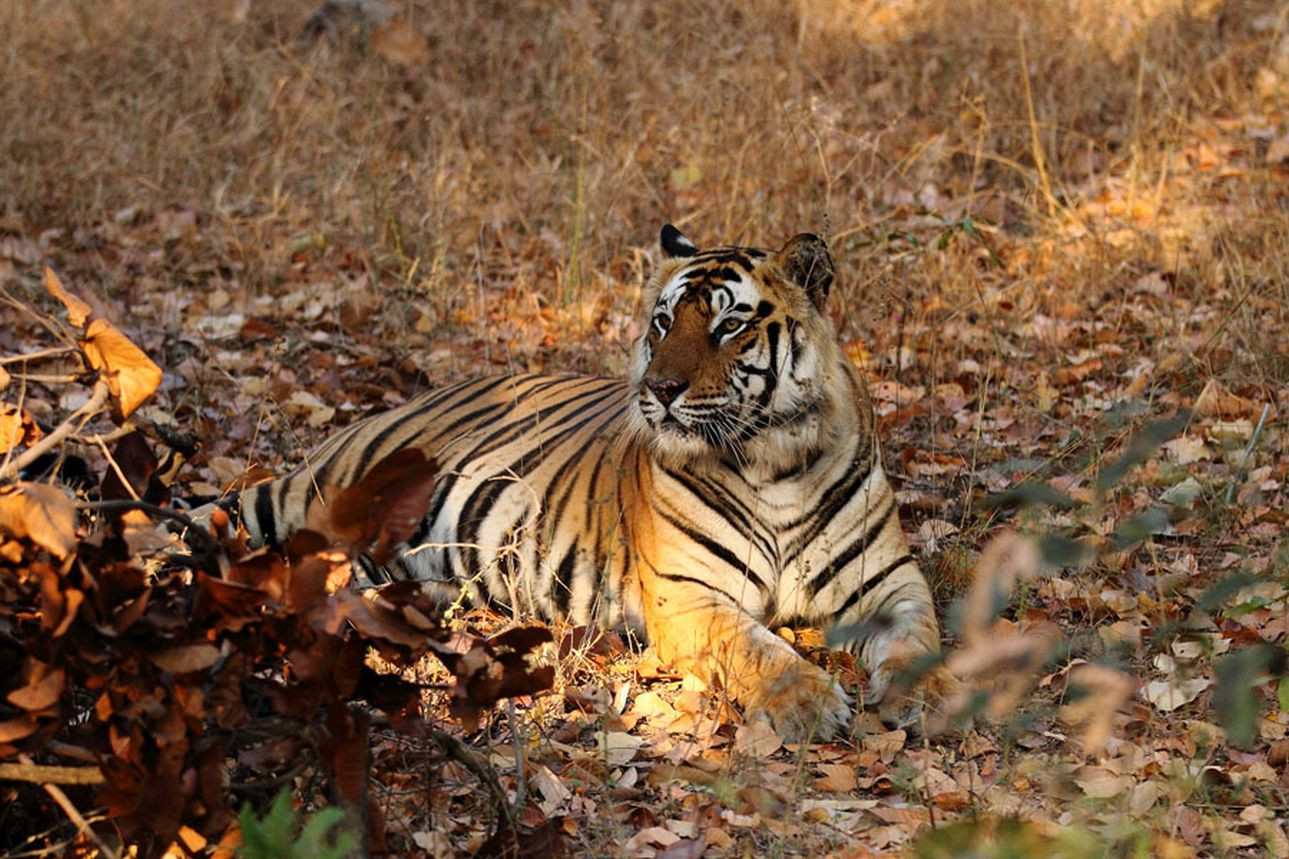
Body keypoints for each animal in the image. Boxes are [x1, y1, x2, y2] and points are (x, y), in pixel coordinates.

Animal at [206, 225, 955, 741]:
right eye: (663, 322)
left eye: (728, 325)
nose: (659, 389)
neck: (774, 464)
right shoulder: (690, 596)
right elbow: (758, 649)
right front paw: (809, 703)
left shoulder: (889, 581)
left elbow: (920, 640)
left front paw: (937, 698)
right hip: (320, 500)